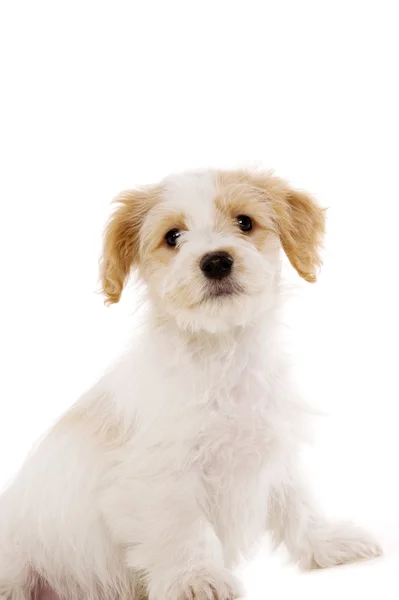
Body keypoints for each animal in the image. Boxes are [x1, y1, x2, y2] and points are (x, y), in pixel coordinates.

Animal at [0, 169, 382, 600]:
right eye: (173, 236)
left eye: (244, 222)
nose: (216, 261)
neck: (221, 352)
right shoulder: (162, 475)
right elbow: (183, 529)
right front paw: (195, 578)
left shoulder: (271, 445)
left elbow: (297, 502)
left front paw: (328, 542)